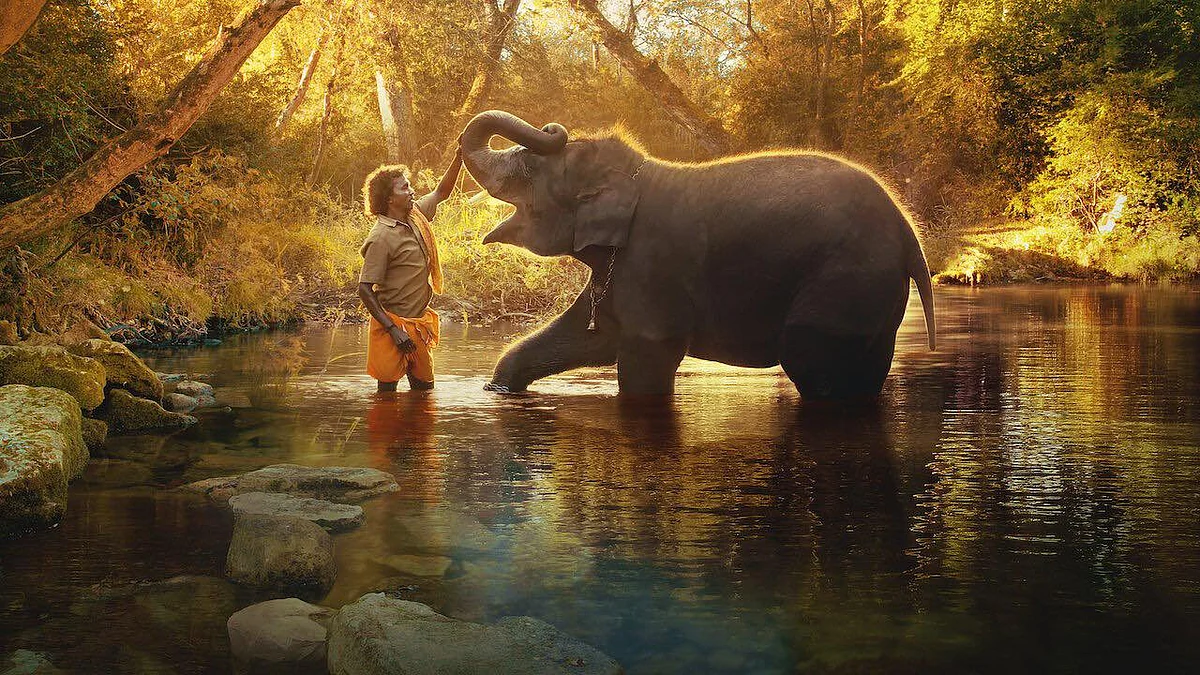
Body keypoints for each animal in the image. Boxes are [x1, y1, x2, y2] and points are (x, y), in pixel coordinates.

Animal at [459, 110, 935, 398]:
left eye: (528, 169)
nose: (553, 128)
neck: (637, 175)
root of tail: (909, 234)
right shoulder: (622, 268)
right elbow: (589, 336)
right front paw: (499, 389)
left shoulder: (652, 263)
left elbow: (646, 359)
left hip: (846, 280)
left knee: (811, 360)